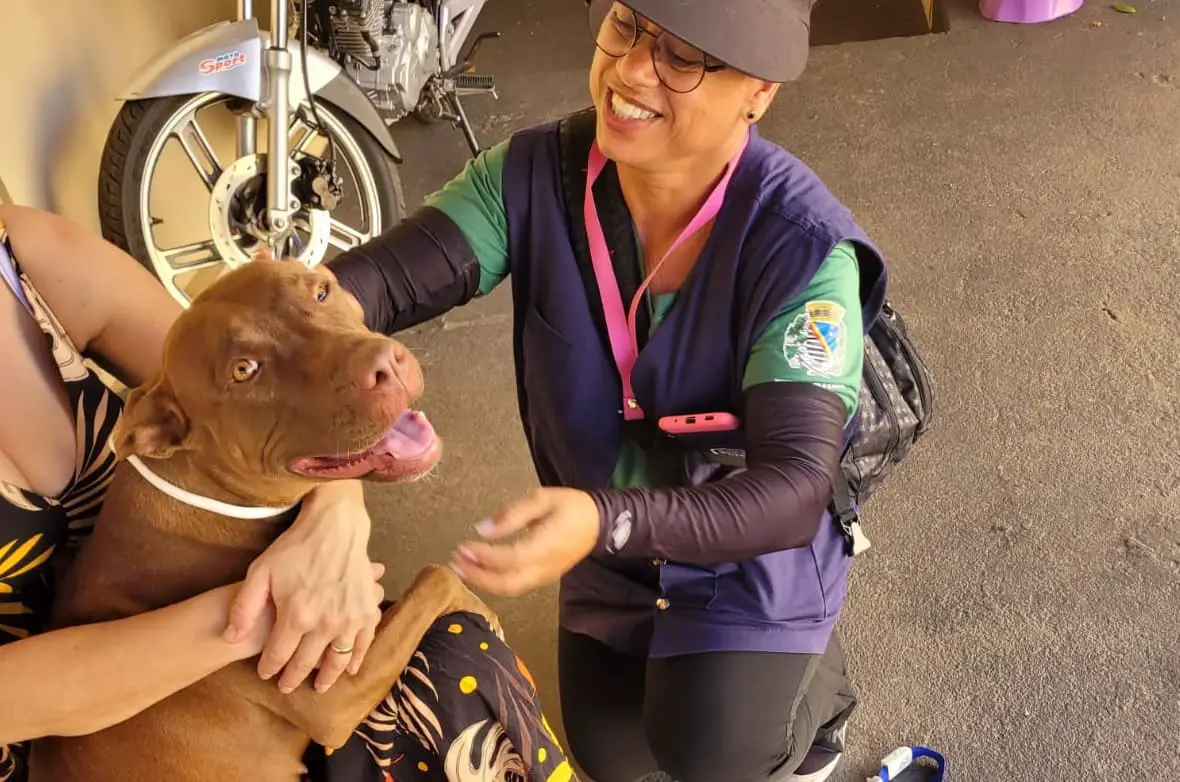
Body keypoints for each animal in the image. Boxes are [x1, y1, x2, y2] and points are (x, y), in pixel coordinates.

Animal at [27, 258, 497, 782]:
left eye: (321, 292)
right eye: (244, 370)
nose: (386, 365)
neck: (208, 495)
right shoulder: (335, 694)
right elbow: (437, 577)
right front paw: (482, 608)